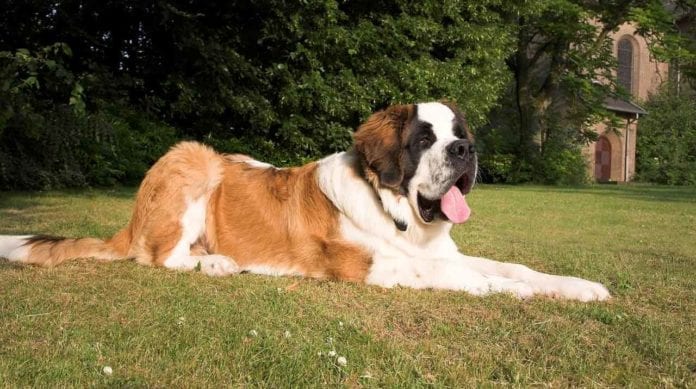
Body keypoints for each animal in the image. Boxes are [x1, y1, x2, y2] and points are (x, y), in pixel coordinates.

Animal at [0, 101, 608, 300]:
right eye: (423, 140)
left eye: (459, 134)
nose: (466, 149)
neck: (397, 214)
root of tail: (129, 219)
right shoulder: (368, 265)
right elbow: (470, 277)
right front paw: (513, 292)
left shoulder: (437, 252)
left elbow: (511, 266)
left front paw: (579, 287)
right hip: (195, 158)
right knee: (158, 257)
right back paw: (217, 263)